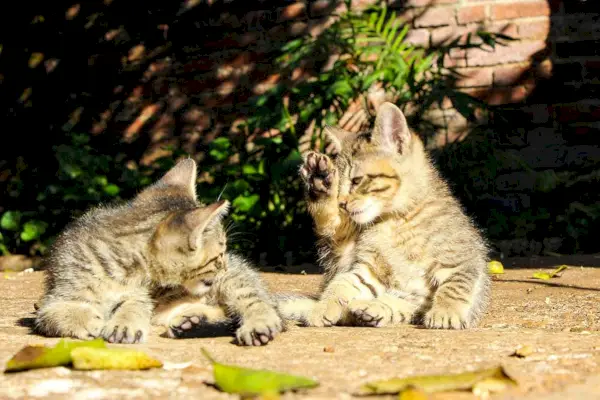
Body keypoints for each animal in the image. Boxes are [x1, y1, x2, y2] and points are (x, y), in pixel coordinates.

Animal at [35, 158, 284, 346]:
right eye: (218, 255)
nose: (224, 266)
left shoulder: (139, 295)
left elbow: (133, 306)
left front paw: (124, 323)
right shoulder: (55, 299)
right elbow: (58, 314)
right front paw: (89, 321)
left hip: (238, 281)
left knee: (259, 304)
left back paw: (257, 324)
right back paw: (191, 322)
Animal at [278, 101, 490, 330]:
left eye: (356, 181)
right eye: (342, 185)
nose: (341, 203)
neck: (395, 221)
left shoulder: (461, 258)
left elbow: (455, 286)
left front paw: (446, 312)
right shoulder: (368, 270)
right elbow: (342, 285)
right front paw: (323, 307)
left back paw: (372, 309)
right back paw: (319, 182)